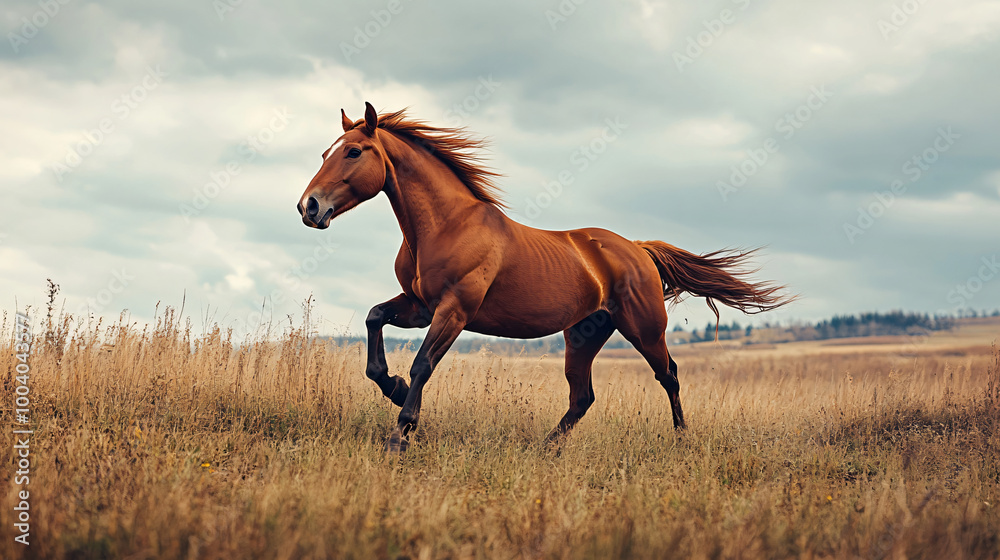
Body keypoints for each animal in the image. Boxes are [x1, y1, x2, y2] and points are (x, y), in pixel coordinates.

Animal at [297, 102, 793, 454]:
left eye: (354, 151)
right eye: (324, 153)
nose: (309, 207)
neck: (446, 225)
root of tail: (638, 249)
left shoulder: (454, 310)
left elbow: (423, 364)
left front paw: (401, 434)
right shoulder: (419, 306)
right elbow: (374, 321)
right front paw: (394, 389)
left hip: (644, 328)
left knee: (668, 375)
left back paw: (682, 440)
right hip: (583, 335)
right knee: (582, 396)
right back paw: (546, 448)